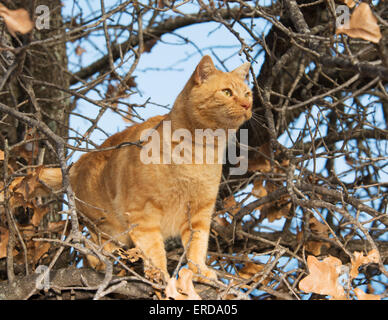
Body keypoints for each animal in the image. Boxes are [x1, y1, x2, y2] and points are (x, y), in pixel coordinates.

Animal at [68, 55, 253, 282]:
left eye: (247, 93)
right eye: (227, 92)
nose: (247, 104)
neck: (201, 153)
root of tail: (78, 163)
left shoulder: (200, 213)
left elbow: (197, 246)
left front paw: (199, 271)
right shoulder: (142, 213)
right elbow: (153, 249)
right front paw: (158, 274)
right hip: (105, 225)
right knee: (95, 244)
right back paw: (99, 262)